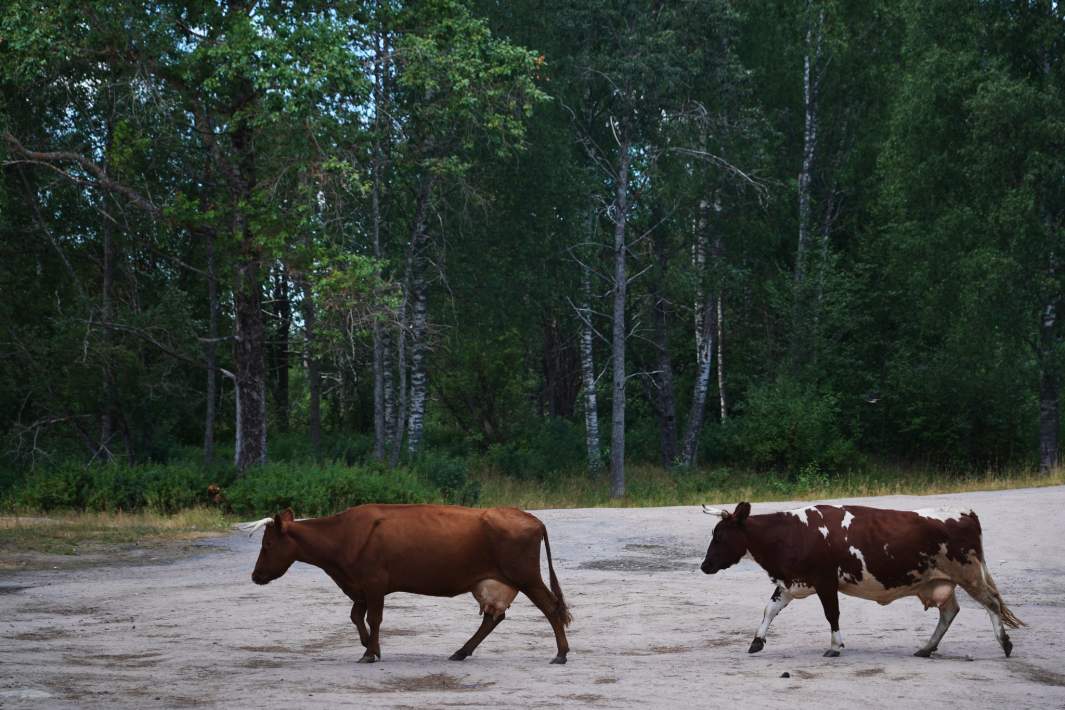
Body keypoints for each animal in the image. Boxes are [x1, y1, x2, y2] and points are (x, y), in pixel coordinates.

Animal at [242, 502, 575, 664]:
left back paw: (561, 654)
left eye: (267, 545)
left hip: (526, 577)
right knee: (494, 618)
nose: (255, 575)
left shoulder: (374, 583)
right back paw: (461, 651)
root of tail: (532, 518)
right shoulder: (359, 586)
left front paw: (369, 652)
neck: (343, 536)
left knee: (551, 609)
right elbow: (356, 616)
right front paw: (369, 645)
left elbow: (374, 618)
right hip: (493, 582)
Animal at [698, 502, 1022, 659]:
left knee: (991, 603)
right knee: (950, 612)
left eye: (720, 536)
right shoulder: (791, 583)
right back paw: (927, 648)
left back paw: (1005, 643)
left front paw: (835, 645)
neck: (792, 532)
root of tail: (964, 511)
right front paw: (757, 641)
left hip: (969, 574)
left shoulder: (825, 582)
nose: (705, 565)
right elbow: (770, 609)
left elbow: (832, 614)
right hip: (938, 580)